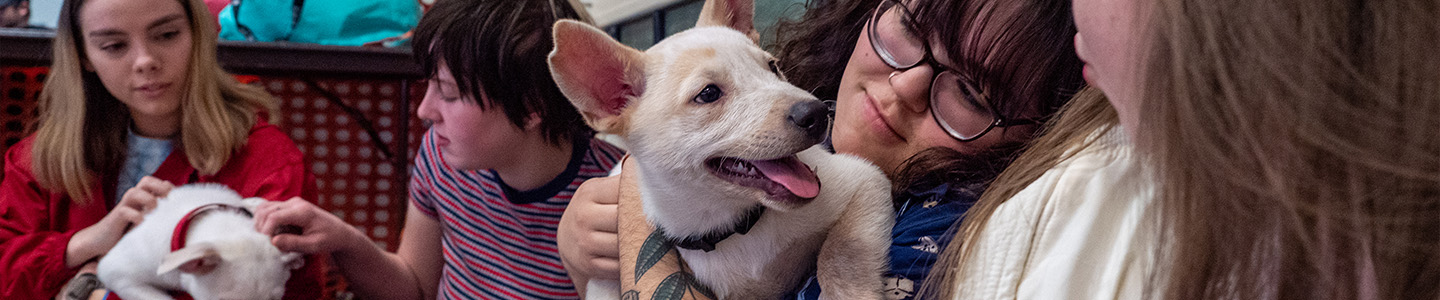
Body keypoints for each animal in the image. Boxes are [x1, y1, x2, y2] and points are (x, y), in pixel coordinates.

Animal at [547, 0, 887, 297]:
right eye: (709, 94)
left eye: (773, 67)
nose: (818, 113)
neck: (731, 225)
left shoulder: (865, 180)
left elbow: (842, 254)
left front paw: (851, 293)